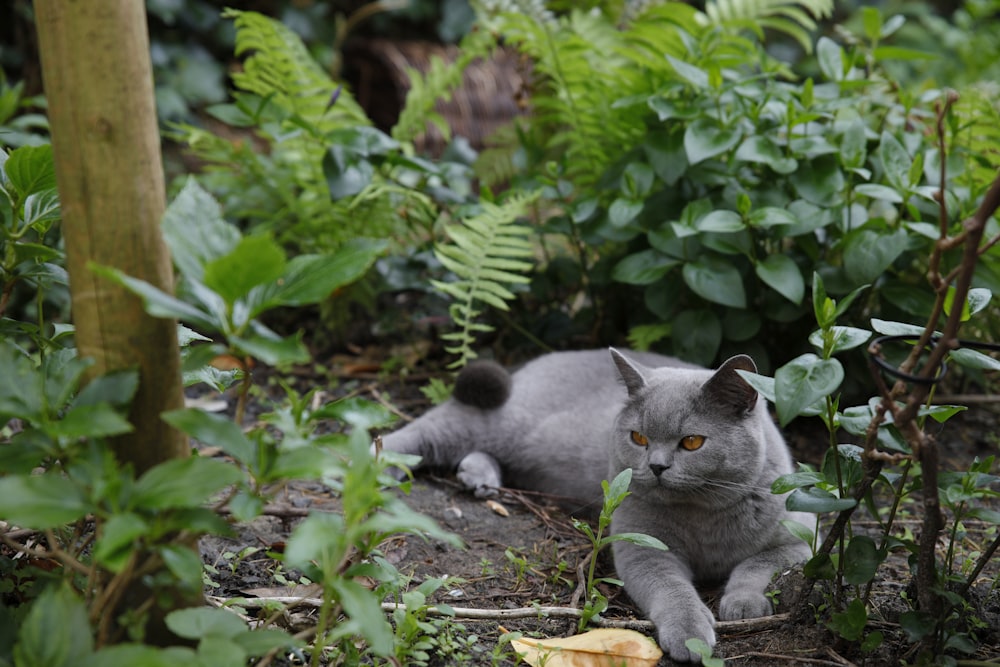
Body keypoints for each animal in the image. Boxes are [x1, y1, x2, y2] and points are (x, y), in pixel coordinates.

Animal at [380, 350, 812, 664]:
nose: (656, 466)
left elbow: (759, 563)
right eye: (638, 437)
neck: (702, 515)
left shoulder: (803, 535)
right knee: (426, 428)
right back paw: (371, 460)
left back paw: (478, 475)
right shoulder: (641, 546)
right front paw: (691, 636)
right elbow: (671, 588)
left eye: (692, 442)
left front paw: (743, 604)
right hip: (497, 422)